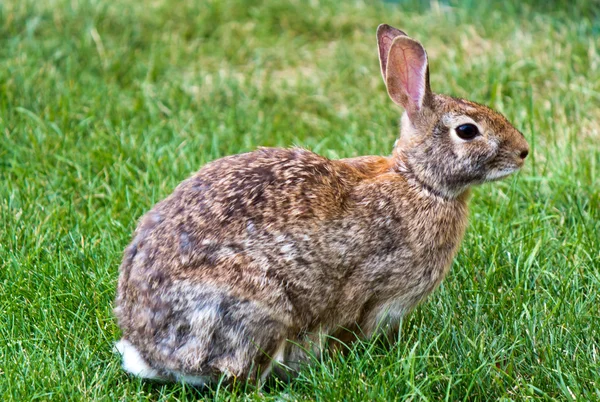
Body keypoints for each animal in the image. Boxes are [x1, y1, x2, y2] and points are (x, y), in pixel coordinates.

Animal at [115, 22, 528, 386]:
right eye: (467, 130)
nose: (524, 151)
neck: (419, 182)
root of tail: (149, 352)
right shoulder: (376, 290)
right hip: (256, 309)